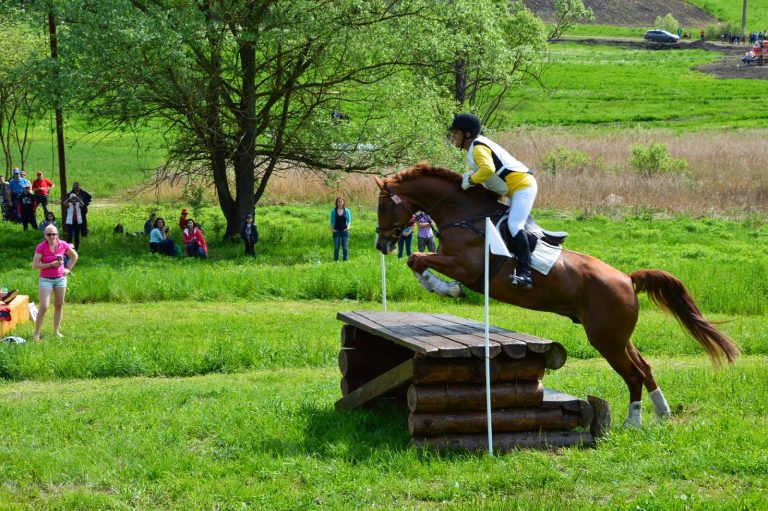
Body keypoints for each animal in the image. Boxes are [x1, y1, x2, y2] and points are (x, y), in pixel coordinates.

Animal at [374, 162, 739, 427]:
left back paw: (632, 423)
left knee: (634, 374)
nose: (381, 244)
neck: (464, 214)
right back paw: (662, 413)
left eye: (382, 208)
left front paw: (446, 288)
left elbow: (417, 258)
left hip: (605, 339)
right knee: (645, 368)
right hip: (619, 336)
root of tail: (627, 279)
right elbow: (415, 259)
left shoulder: (466, 266)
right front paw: (442, 287)